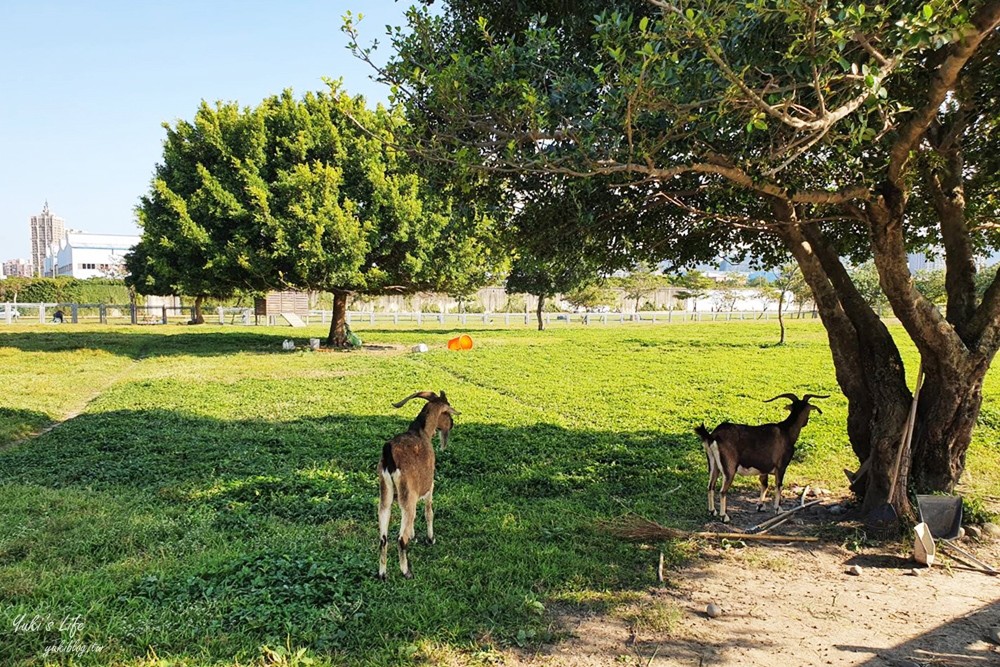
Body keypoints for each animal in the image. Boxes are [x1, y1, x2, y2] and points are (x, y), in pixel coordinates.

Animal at [376, 392, 458, 580]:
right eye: (447, 412)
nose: (452, 423)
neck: (421, 432)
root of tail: (389, 455)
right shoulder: (429, 486)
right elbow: (429, 512)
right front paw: (430, 539)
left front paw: (415, 535)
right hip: (408, 495)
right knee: (401, 538)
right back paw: (406, 572)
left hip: (386, 494)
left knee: (383, 537)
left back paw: (382, 574)